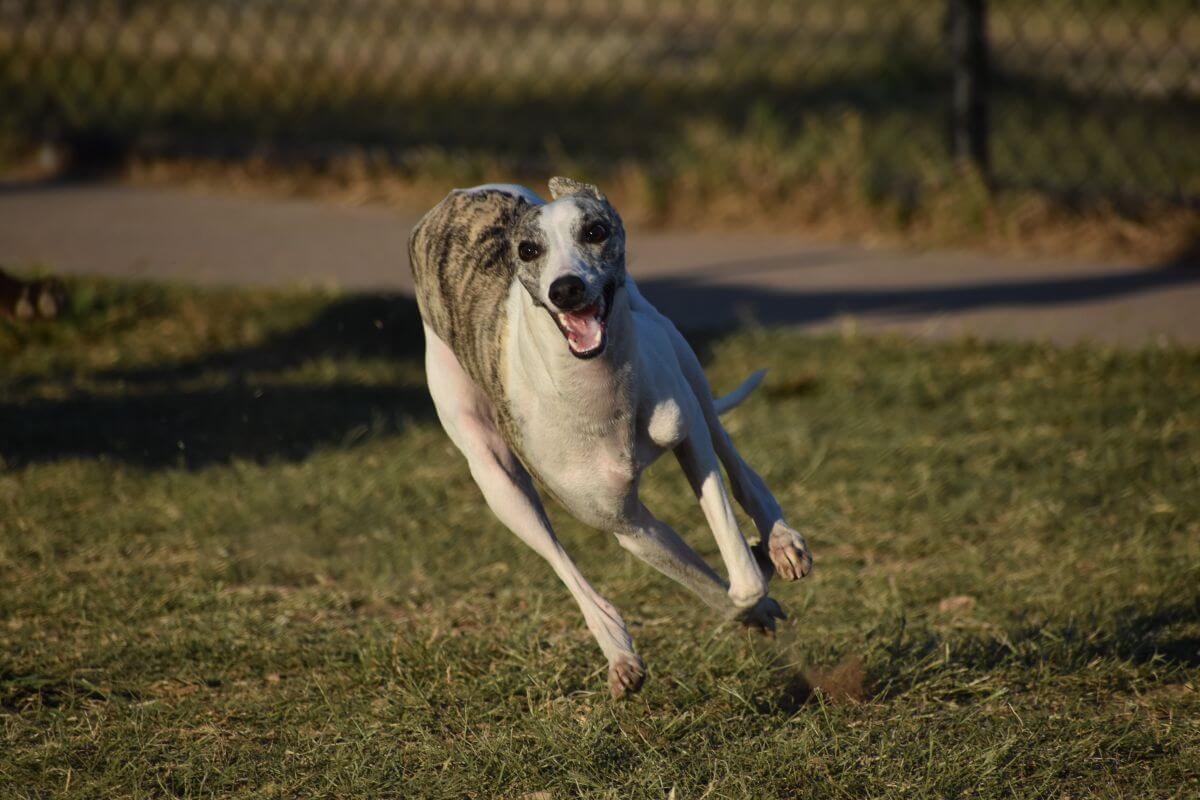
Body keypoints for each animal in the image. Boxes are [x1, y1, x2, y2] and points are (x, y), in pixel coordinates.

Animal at [408, 178, 811, 695]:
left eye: (595, 231)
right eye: (528, 249)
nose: (565, 289)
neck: (599, 393)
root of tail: (459, 194)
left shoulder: (688, 439)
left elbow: (741, 578)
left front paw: (761, 566)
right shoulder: (626, 524)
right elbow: (715, 586)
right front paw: (752, 604)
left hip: (679, 355)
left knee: (733, 456)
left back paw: (779, 540)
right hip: (494, 475)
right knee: (559, 557)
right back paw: (618, 651)